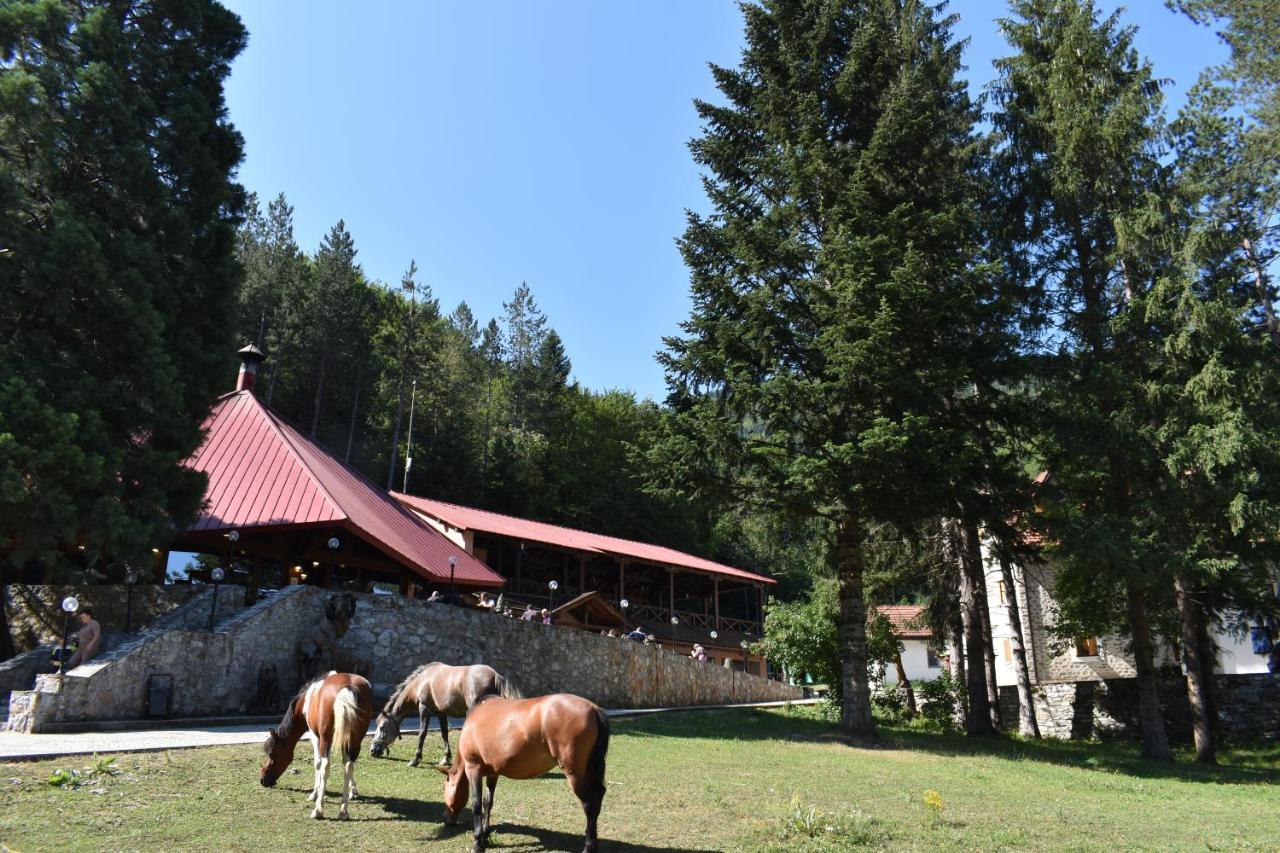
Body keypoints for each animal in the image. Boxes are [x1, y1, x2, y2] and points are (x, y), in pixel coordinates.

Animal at [261, 671, 373, 819]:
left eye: (272, 753)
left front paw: (315, 793)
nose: (263, 779)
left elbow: (318, 763)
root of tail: (348, 687)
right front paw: (353, 791)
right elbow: (345, 763)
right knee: (350, 765)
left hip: (326, 740)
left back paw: (318, 810)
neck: (306, 700)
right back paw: (343, 811)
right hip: (355, 740)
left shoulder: (315, 736)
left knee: (326, 766)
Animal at [371, 655, 519, 763]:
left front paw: (416, 759)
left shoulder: (424, 709)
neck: (422, 680)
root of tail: (495, 676)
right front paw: (446, 759)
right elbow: (444, 733)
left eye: (382, 727)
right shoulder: (441, 713)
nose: (373, 750)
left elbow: (422, 733)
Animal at [435, 691, 609, 850]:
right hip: (589, 770)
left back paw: (588, 846)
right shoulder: (493, 773)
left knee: (589, 804)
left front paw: (478, 842)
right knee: (598, 797)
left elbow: (476, 804)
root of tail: (593, 708)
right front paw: (485, 836)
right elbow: (487, 802)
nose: (445, 818)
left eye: (444, 787)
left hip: (574, 774)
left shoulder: (473, 768)